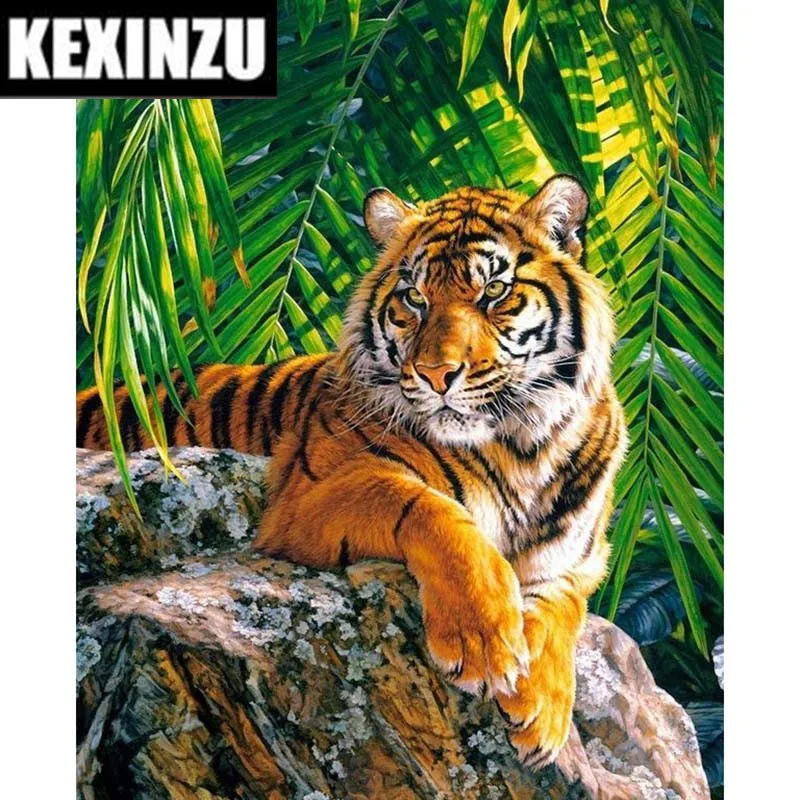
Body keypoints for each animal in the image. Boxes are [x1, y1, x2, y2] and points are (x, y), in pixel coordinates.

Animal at [76, 175, 627, 769]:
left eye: (494, 292)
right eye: (415, 298)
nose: (436, 375)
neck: (522, 444)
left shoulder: (579, 559)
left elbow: (561, 606)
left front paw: (542, 711)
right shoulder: (306, 496)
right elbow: (435, 512)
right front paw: (482, 641)